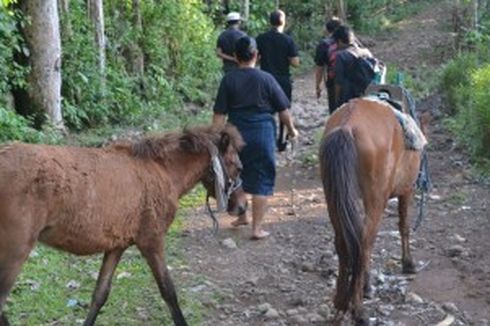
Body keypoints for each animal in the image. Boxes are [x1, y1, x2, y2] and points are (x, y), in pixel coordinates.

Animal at [0, 123, 245, 324]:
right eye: (238, 166)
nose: (242, 206)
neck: (162, 170)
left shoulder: (117, 246)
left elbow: (100, 295)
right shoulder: (151, 242)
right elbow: (169, 292)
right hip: (16, 251)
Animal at [318, 98, 424, 324]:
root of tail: (347, 125)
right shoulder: (407, 190)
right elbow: (404, 225)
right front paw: (408, 263)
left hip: (334, 198)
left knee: (345, 242)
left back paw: (341, 301)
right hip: (376, 200)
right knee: (365, 242)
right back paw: (359, 310)